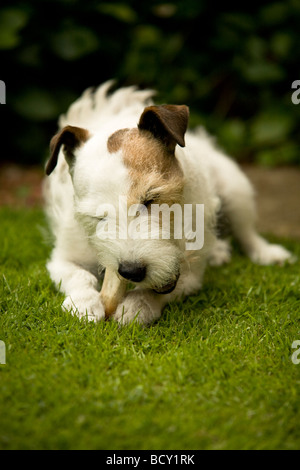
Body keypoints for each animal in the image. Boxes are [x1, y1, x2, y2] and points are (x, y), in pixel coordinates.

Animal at [43, 80, 294, 324]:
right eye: (98, 216)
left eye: (151, 199)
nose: (132, 271)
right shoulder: (62, 259)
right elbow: (78, 275)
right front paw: (84, 303)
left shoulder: (190, 275)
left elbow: (158, 291)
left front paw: (137, 306)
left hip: (236, 190)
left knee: (247, 233)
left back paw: (267, 253)